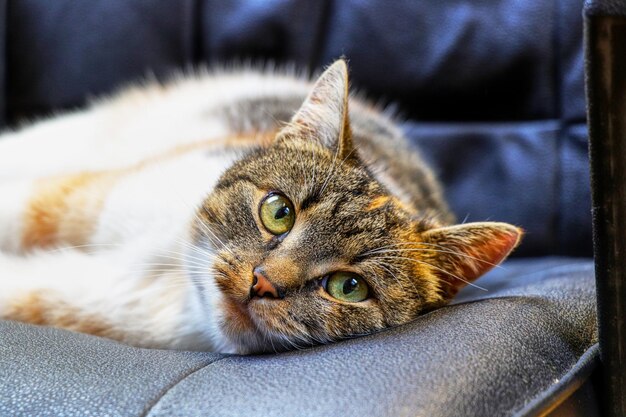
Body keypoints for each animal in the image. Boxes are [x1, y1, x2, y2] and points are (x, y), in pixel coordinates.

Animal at [0, 60, 520, 352]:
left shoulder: (98, 301)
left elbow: (24, 290)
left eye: (349, 286)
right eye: (279, 211)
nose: (263, 283)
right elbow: (25, 207)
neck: (172, 264)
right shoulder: (91, 196)